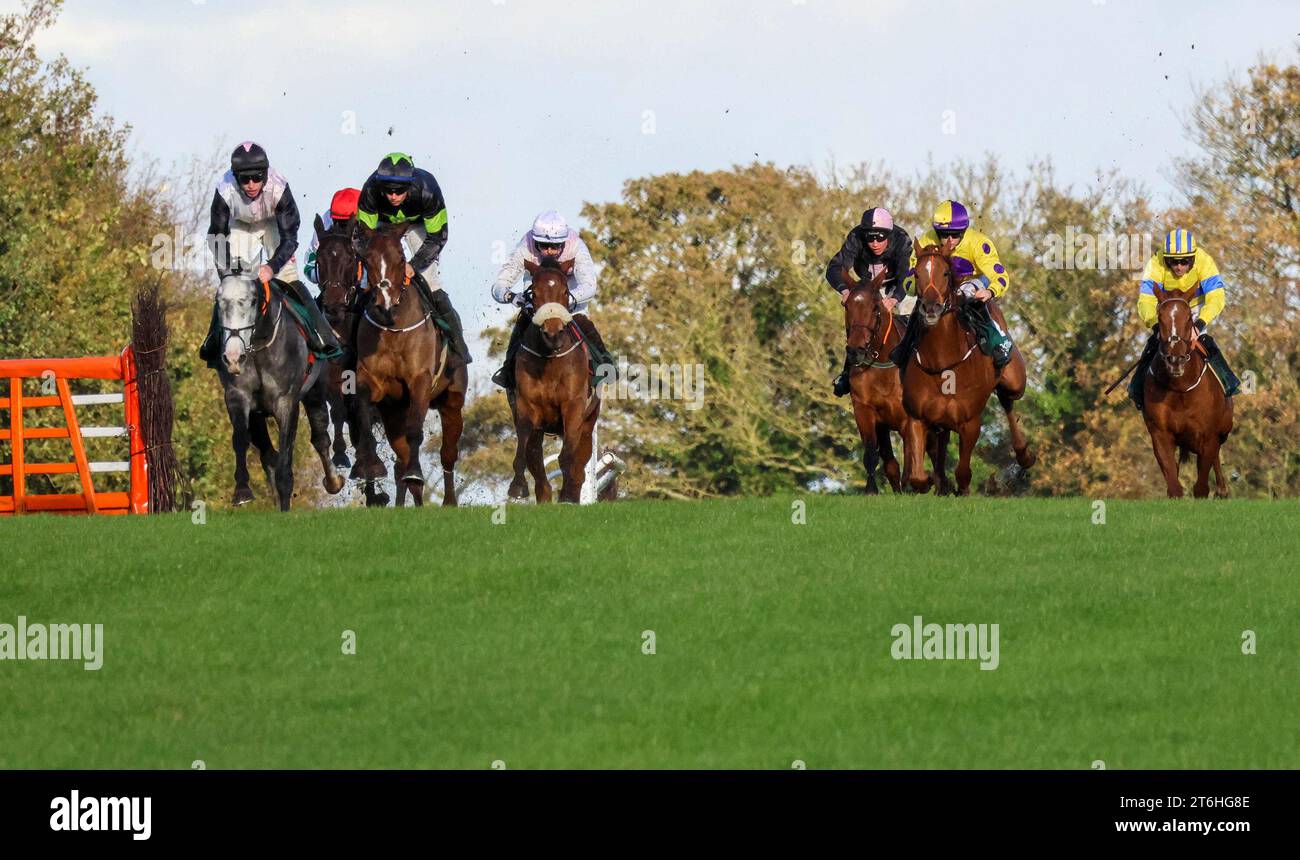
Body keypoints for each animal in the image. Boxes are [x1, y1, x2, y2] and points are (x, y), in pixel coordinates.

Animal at [348, 219, 465, 509]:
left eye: (401, 259)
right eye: (366, 259)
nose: (385, 305)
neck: (393, 329)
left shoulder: (420, 381)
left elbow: (416, 431)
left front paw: (415, 473)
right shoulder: (371, 382)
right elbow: (363, 414)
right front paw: (369, 466)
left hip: (452, 402)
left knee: (448, 453)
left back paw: (448, 501)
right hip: (393, 413)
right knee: (400, 458)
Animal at [504, 259, 600, 509]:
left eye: (565, 291)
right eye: (534, 293)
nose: (553, 333)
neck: (549, 359)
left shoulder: (573, 406)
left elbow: (568, 458)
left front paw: (567, 496)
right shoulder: (526, 406)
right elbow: (524, 449)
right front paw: (518, 486)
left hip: (589, 421)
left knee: (579, 463)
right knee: (537, 462)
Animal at [837, 266, 951, 496]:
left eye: (875, 308)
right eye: (847, 306)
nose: (855, 350)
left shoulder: (908, 419)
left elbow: (911, 455)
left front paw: (913, 486)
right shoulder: (865, 411)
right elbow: (875, 455)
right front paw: (872, 489)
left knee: (936, 454)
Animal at [904, 244, 1034, 498]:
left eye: (945, 273)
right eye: (917, 274)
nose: (931, 308)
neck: (942, 363)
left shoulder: (970, 422)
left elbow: (963, 472)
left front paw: (960, 489)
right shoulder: (918, 417)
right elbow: (918, 476)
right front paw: (933, 483)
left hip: (1015, 380)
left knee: (1007, 400)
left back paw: (1024, 455)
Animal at [1144, 285, 1232, 498]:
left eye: (1189, 318)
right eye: (1160, 317)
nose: (1175, 359)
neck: (1180, 389)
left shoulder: (1208, 435)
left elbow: (1201, 486)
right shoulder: (1160, 433)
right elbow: (1173, 483)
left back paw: (1222, 489)